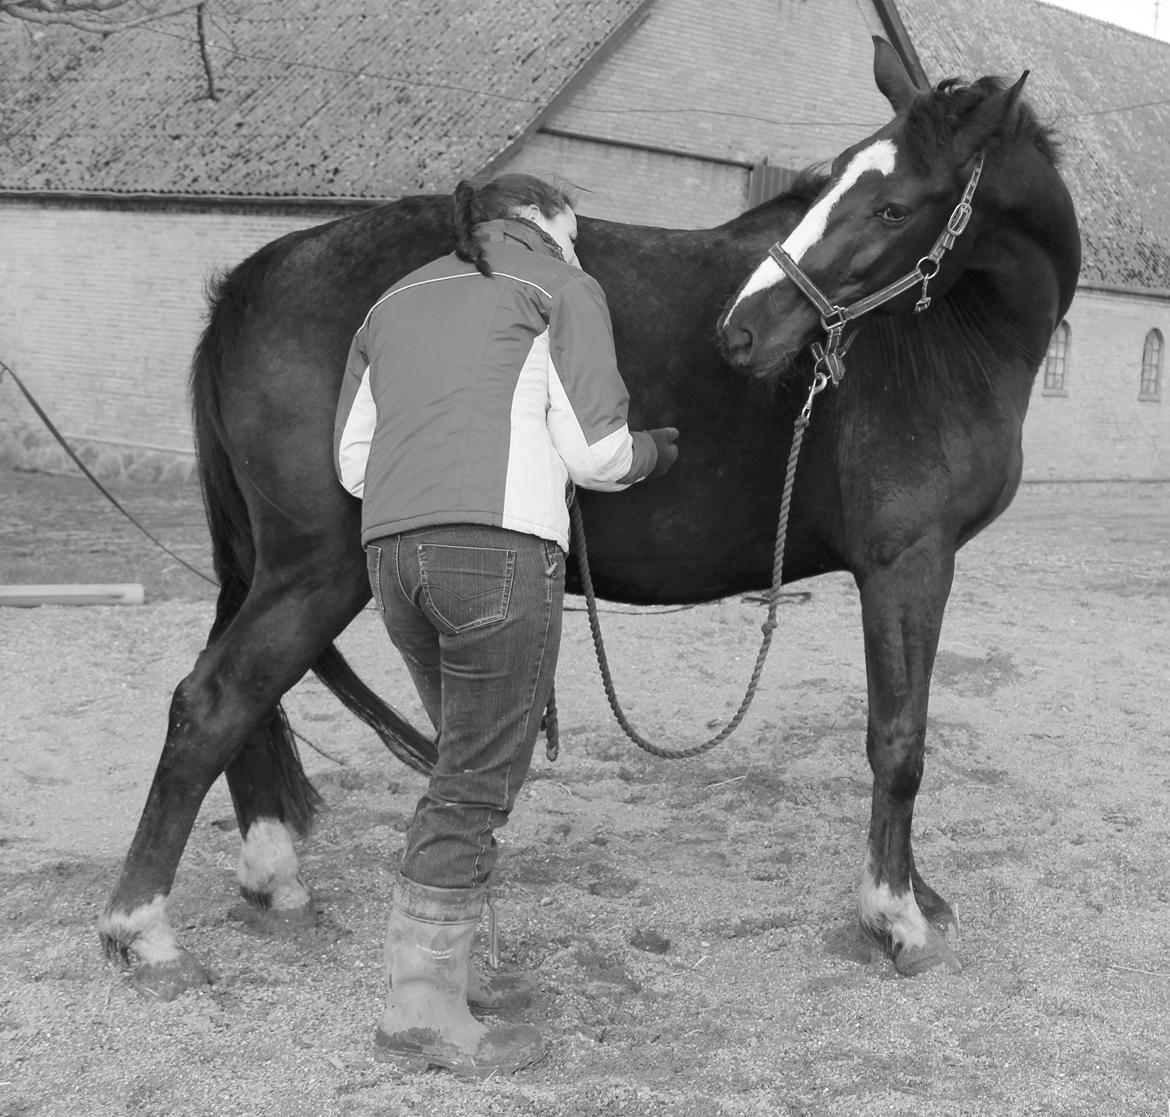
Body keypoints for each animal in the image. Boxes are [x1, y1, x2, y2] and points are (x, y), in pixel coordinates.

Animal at [98, 39, 1076, 1001]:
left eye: (892, 204)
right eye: (838, 185)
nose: (744, 330)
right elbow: (898, 739)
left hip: (277, 568)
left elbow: (901, 731)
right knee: (214, 704)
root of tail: (250, 281)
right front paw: (895, 913)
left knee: (244, 705)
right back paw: (142, 930)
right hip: (316, 571)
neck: (947, 340)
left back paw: (271, 879)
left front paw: (917, 891)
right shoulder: (909, 561)